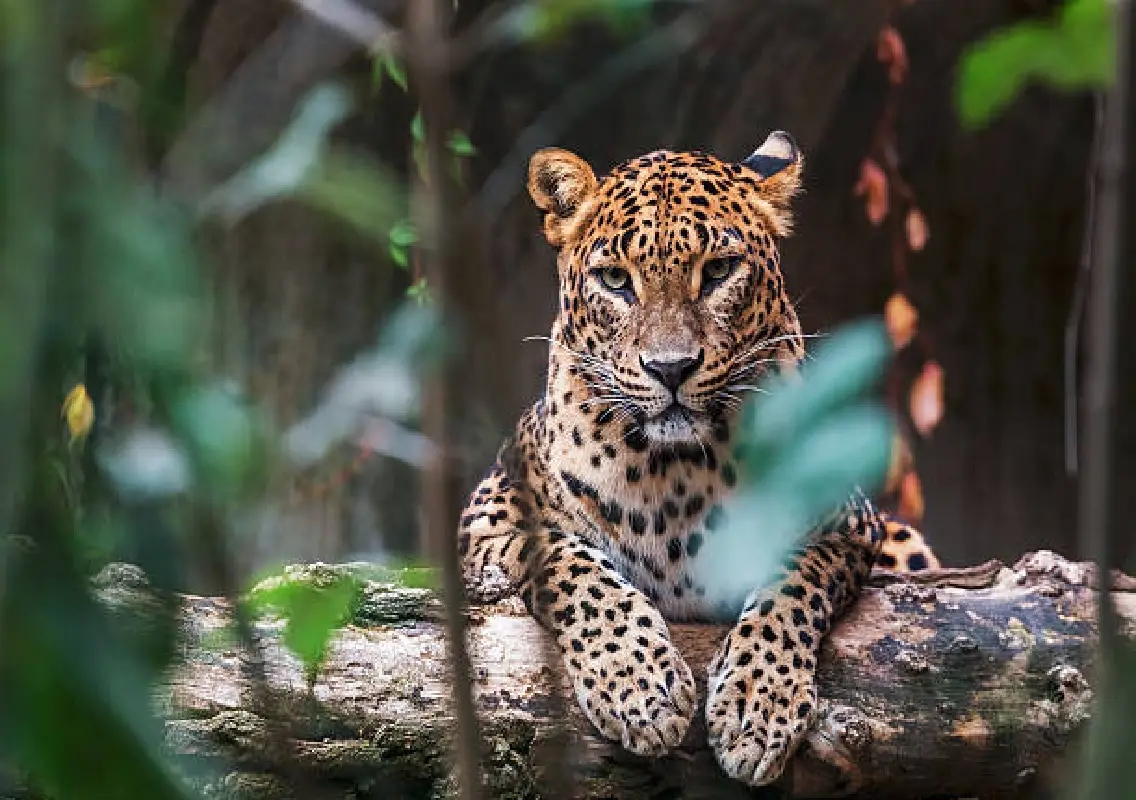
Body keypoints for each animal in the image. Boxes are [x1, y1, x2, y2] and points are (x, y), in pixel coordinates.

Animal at [458, 131, 940, 787]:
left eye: (717, 271)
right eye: (616, 279)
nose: (671, 368)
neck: (675, 471)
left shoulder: (846, 524)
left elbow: (792, 582)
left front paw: (757, 709)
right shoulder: (489, 517)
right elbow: (571, 566)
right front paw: (638, 687)